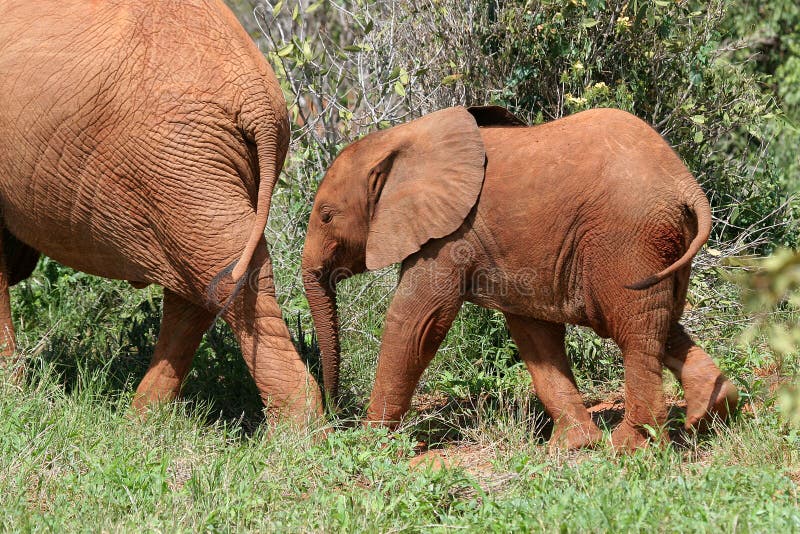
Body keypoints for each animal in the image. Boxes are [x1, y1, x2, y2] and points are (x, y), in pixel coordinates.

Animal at [3, 1, 322, 428]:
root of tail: (259, 100)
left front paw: (10, 395)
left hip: (178, 157)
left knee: (221, 275)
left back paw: (295, 434)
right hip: (186, 164)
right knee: (207, 283)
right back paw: (139, 425)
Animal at [302, 105, 736, 452]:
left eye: (326, 215)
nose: (335, 415)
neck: (401, 137)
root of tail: (686, 185)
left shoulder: (450, 234)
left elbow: (415, 323)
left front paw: (369, 442)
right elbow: (534, 335)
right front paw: (573, 446)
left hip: (628, 239)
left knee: (634, 331)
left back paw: (632, 448)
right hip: (659, 246)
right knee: (662, 323)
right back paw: (712, 413)